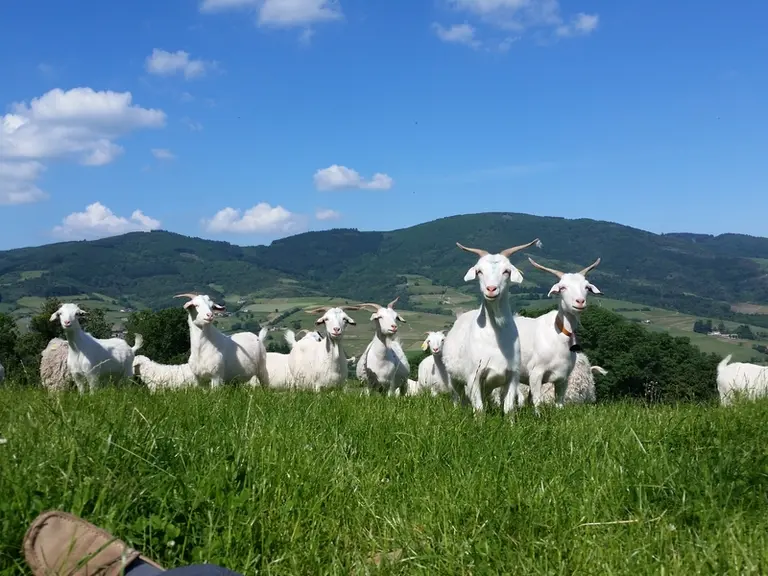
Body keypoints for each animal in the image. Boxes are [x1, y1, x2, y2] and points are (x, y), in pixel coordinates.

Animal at [441, 238, 541, 416]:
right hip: (454, 378)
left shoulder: (512, 376)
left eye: (506, 271)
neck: (495, 339)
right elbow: (479, 409)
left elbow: (508, 409)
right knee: (458, 398)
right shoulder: (474, 376)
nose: (491, 289)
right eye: (479, 271)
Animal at [514, 257, 602, 411]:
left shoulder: (563, 378)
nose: (580, 301)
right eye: (562, 287)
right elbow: (537, 402)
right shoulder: (536, 374)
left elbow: (559, 405)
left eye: (586, 287)